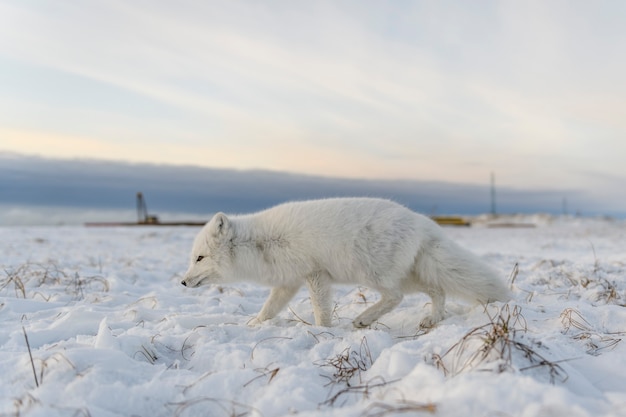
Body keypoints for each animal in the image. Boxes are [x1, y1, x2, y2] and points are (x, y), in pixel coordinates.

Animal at [179, 198, 508, 328]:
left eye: (199, 258)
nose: (182, 281)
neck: (260, 245)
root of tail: (422, 221)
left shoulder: (315, 274)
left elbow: (320, 309)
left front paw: (323, 331)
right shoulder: (289, 282)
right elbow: (270, 308)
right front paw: (256, 324)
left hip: (373, 272)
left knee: (396, 297)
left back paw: (363, 319)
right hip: (408, 275)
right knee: (437, 290)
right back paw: (432, 319)